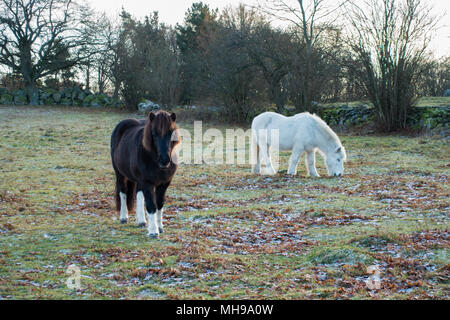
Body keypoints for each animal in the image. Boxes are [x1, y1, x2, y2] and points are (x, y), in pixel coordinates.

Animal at [111, 110, 180, 238]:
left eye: (171, 133)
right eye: (154, 134)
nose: (164, 160)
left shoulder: (164, 184)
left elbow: (159, 204)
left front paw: (160, 227)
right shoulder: (147, 182)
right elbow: (151, 206)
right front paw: (153, 232)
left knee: (139, 194)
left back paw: (141, 221)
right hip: (120, 174)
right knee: (123, 192)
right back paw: (123, 218)